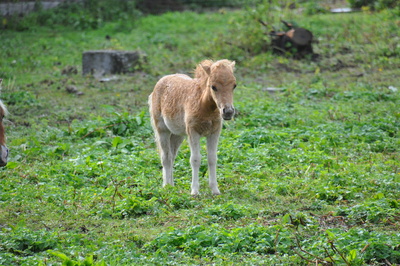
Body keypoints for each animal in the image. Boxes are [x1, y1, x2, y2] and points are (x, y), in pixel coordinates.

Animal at [150, 59, 238, 195]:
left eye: (234, 85)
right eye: (213, 86)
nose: (228, 112)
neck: (204, 105)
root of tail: (162, 80)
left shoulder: (214, 132)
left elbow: (212, 158)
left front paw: (215, 190)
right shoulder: (193, 132)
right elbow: (195, 159)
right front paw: (195, 191)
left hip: (177, 135)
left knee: (172, 156)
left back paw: (172, 185)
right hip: (162, 130)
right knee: (166, 157)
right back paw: (166, 186)